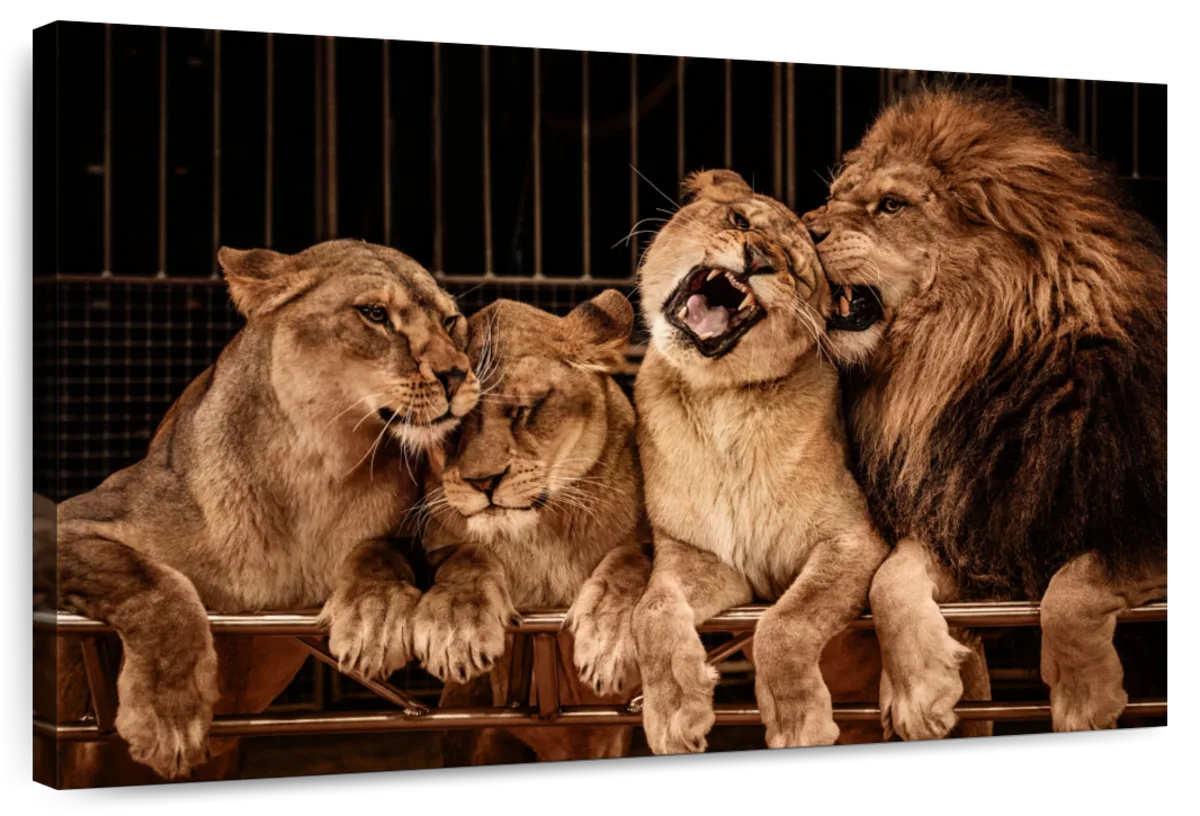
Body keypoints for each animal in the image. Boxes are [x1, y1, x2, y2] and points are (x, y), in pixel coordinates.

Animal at [36, 239, 480, 789]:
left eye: (451, 321)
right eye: (375, 314)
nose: (457, 375)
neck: (318, 466)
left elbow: (381, 548)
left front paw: (373, 617)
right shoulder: (70, 519)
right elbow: (151, 581)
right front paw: (169, 716)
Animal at [411, 292, 652, 765]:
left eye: (524, 411)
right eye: (451, 427)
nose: (483, 481)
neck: (538, 534)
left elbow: (633, 560)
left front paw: (609, 635)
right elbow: (465, 556)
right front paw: (456, 627)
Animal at [630, 169, 905, 755]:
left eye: (797, 273)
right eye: (739, 220)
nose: (756, 257)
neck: (722, 401)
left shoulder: (853, 540)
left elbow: (786, 623)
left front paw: (799, 723)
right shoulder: (699, 555)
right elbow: (653, 612)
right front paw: (674, 714)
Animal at [802, 85, 1169, 740]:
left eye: (890, 205)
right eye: (835, 195)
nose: (802, 225)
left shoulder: (1136, 521)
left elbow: (1075, 584)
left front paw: (1084, 699)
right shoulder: (975, 516)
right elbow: (889, 577)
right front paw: (918, 690)